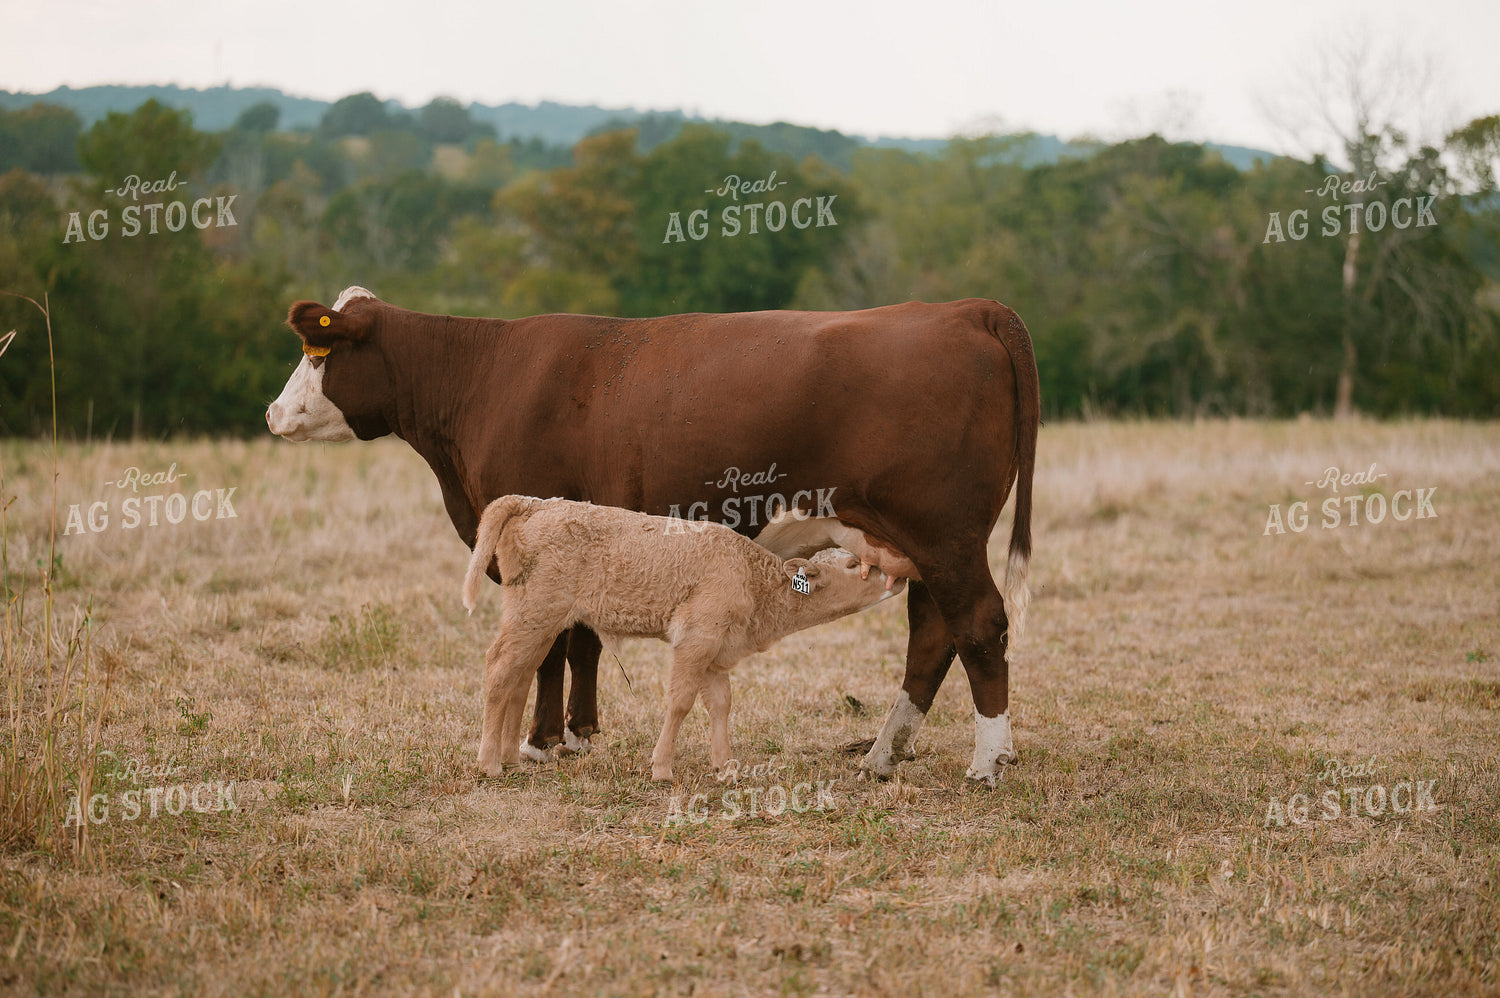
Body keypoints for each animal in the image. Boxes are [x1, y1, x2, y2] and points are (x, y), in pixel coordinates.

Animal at [460, 496, 906, 780]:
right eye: (852, 565)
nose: (897, 576)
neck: (752, 577)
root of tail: (533, 503)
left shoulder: (716, 651)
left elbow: (721, 704)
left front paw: (725, 766)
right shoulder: (696, 639)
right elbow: (680, 701)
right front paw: (663, 769)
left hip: (536, 617)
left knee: (519, 675)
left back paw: (509, 757)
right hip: (536, 612)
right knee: (499, 668)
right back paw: (488, 763)